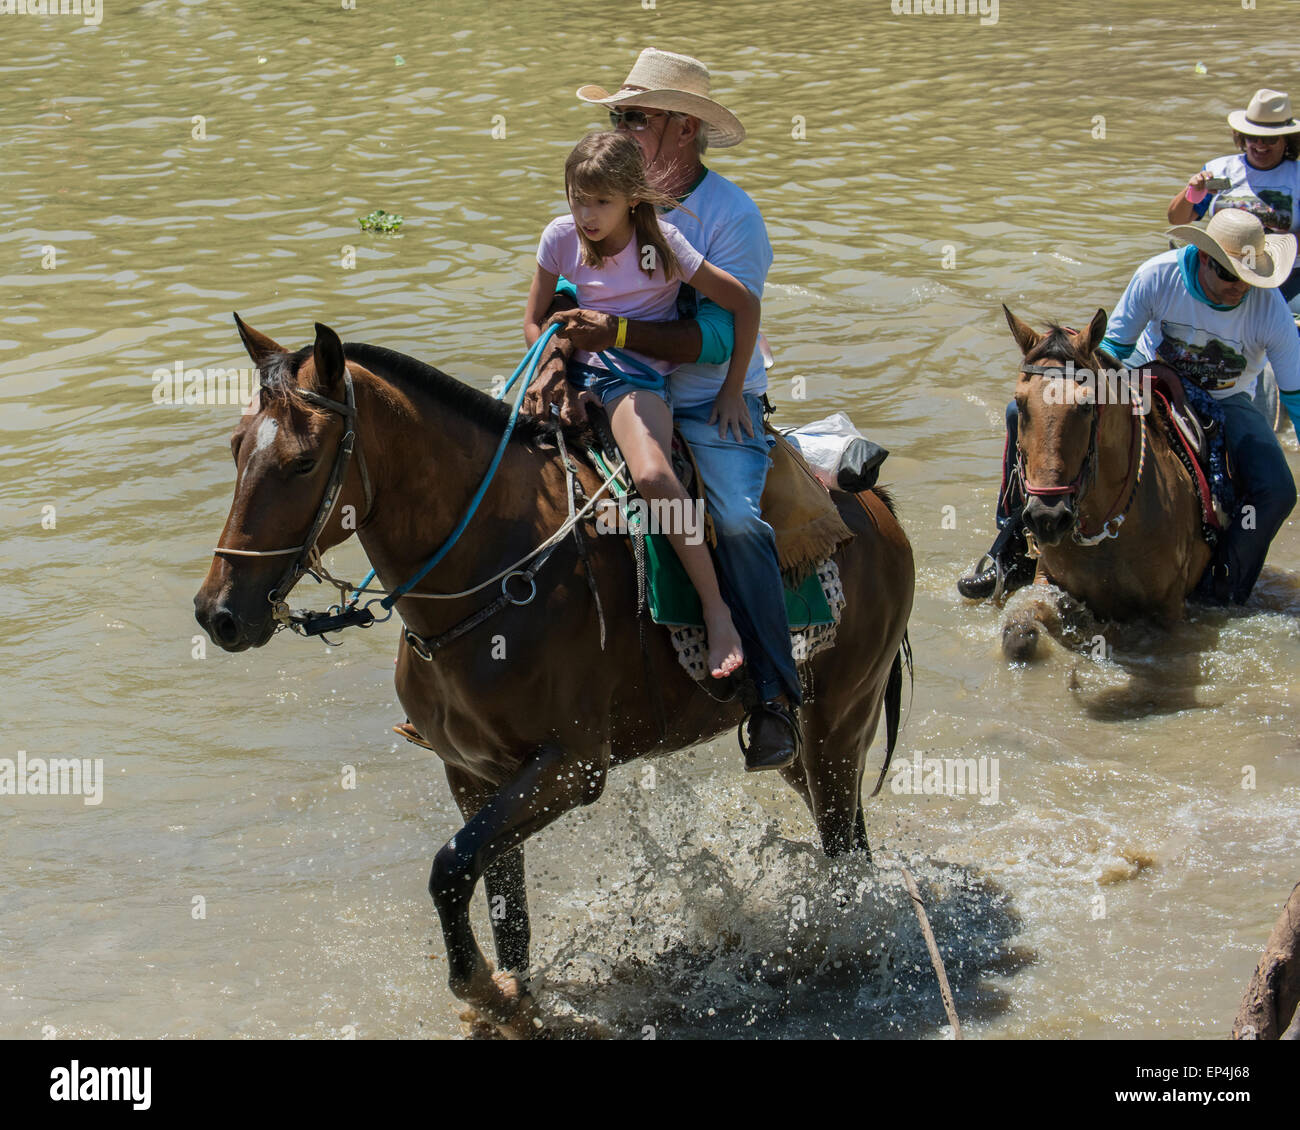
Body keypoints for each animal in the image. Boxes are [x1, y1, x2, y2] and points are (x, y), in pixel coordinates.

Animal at [192, 313, 915, 1035]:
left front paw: (484, 989)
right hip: (805, 741)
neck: (500, 571)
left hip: (838, 726)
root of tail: (873, 503)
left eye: (303, 462)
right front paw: (515, 1000)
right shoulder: (474, 776)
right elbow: (500, 904)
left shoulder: (570, 768)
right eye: (235, 448)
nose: (218, 613)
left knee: (845, 851)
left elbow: (449, 867)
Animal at [993, 308, 1216, 660]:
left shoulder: (1169, 612)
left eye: (1086, 406)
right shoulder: (1048, 580)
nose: (1047, 518)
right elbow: (1019, 632)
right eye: (1021, 402)